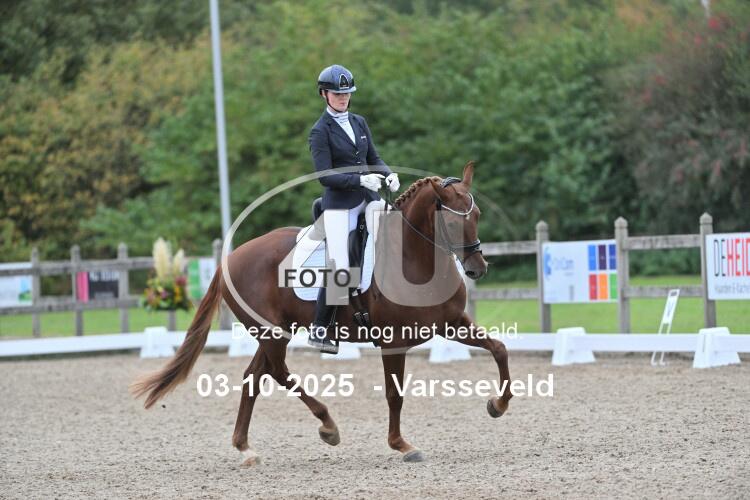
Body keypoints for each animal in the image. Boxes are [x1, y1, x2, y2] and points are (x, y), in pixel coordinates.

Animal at [130, 161, 512, 465]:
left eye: (477, 216)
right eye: (451, 222)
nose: (477, 269)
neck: (413, 256)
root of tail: (231, 258)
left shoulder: (452, 323)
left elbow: (499, 349)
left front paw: (498, 405)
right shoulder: (393, 341)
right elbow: (394, 394)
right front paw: (402, 445)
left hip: (274, 332)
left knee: (254, 376)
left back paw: (246, 448)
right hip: (273, 333)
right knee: (278, 372)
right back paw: (327, 426)